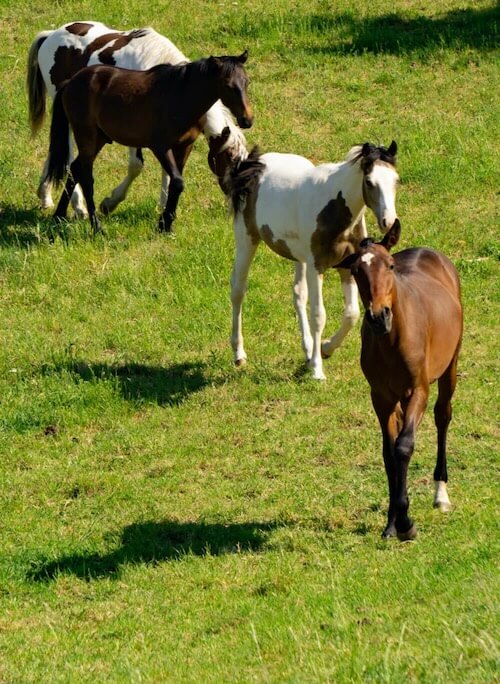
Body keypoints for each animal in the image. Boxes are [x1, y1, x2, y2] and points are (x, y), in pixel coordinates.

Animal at [27, 21, 248, 220]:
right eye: (230, 158)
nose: (239, 196)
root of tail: (50, 35)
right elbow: (136, 166)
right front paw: (110, 202)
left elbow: (168, 171)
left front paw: (164, 206)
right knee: (69, 157)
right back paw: (78, 206)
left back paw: (44, 195)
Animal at [225, 141, 400, 380]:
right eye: (370, 182)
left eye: (396, 180)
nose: (388, 222)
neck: (334, 206)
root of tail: (255, 163)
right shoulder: (317, 267)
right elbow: (318, 314)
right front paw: (318, 369)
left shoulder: (347, 266)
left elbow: (351, 313)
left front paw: (325, 349)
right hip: (247, 240)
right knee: (238, 290)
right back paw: (239, 353)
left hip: (298, 257)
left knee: (298, 293)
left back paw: (308, 350)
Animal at [335, 220, 463, 540]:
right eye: (356, 271)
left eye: (390, 266)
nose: (379, 316)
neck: (393, 341)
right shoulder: (381, 397)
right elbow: (389, 454)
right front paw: (393, 521)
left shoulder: (418, 390)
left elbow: (404, 446)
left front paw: (406, 523)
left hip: (450, 367)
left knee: (443, 416)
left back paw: (441, 494)